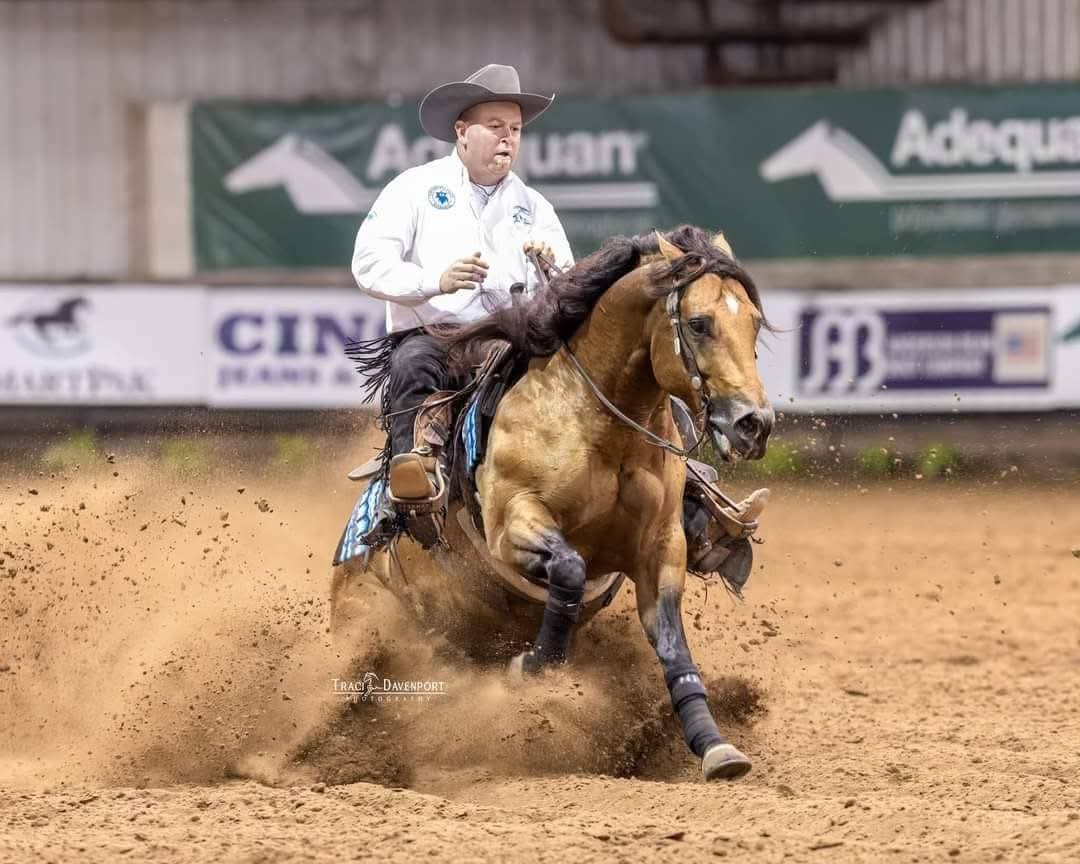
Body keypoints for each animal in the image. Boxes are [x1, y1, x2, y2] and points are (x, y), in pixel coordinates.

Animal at [333, 225, 773, 781]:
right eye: (699, 323)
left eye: (754, 323)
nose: (753, 424)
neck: (600, 431)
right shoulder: (512, 525)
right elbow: (568, 568)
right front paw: (532, 667)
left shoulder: (661, 547)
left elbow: (673, 645)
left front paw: (715, 747)